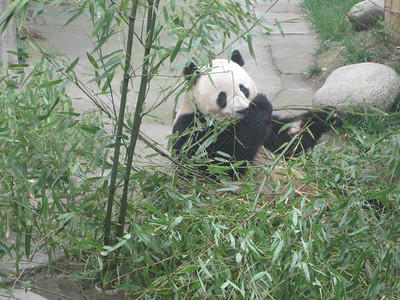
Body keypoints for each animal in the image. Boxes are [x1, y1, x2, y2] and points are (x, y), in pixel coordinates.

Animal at [172, 49, 340, 178]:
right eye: (222, 96)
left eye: (243, 88)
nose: (242, 110)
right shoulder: (193, 129)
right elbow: (221, 164)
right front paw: (260, 106)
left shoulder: (269, 130)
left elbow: (289, 139)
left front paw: (330, 115)